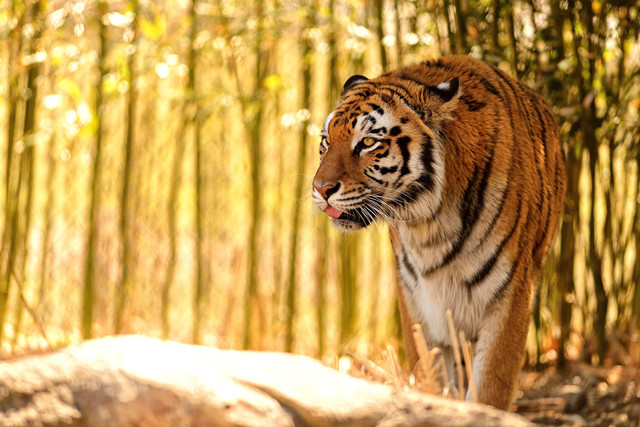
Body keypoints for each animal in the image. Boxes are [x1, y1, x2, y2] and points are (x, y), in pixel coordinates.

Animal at [312, 55, 566, 410]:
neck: (428, 225)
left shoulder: (510, 292)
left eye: (367, 142)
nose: (320, 189)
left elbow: (491, 386)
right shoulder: (416, 298)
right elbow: (430, 376)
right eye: (325, 142)